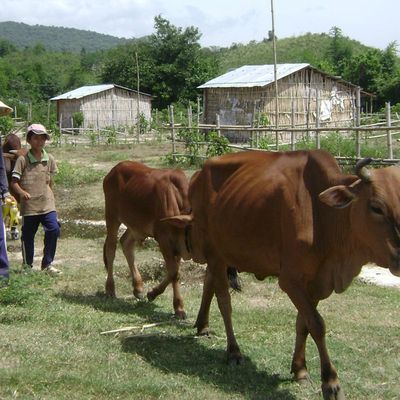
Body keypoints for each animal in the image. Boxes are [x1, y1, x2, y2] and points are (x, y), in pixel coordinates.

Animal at [102, 160, 191, 318]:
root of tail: (114, 170)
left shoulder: (178, 244)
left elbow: (173, 271)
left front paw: (152, 293)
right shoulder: (164, 238)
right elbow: (174, 272)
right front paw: (179, 308)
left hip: (135, 226)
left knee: (126, 244)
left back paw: (138, 288)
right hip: (112, 216)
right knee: (111, 249)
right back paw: (110, 289)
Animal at [162, 151, 400, 400]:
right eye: (376, 207)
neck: (321, 214)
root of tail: (200, 172)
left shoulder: (314, 282)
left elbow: (303, 324)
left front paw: (300, 369)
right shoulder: (290, 280)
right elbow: (317, 324)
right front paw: (330, 383)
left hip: (223, 253)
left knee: (209, 282)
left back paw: (202, 325)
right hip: (214, 251)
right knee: (224, 301)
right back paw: (233, 351)